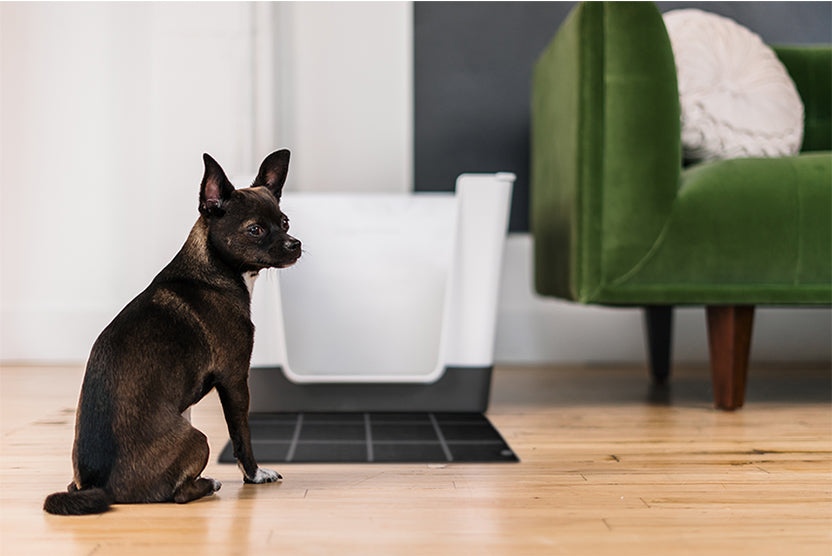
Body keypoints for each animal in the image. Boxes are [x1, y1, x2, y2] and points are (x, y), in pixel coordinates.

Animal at [44, 150, 300, 516]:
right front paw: (254, 474)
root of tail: (99, 485)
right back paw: (208, 483)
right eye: (255, 230)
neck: (213, 271)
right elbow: (242, 436)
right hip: (199, 438)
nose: (295, 244)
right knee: (178, 495)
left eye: (286, 222)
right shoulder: (235, 379)